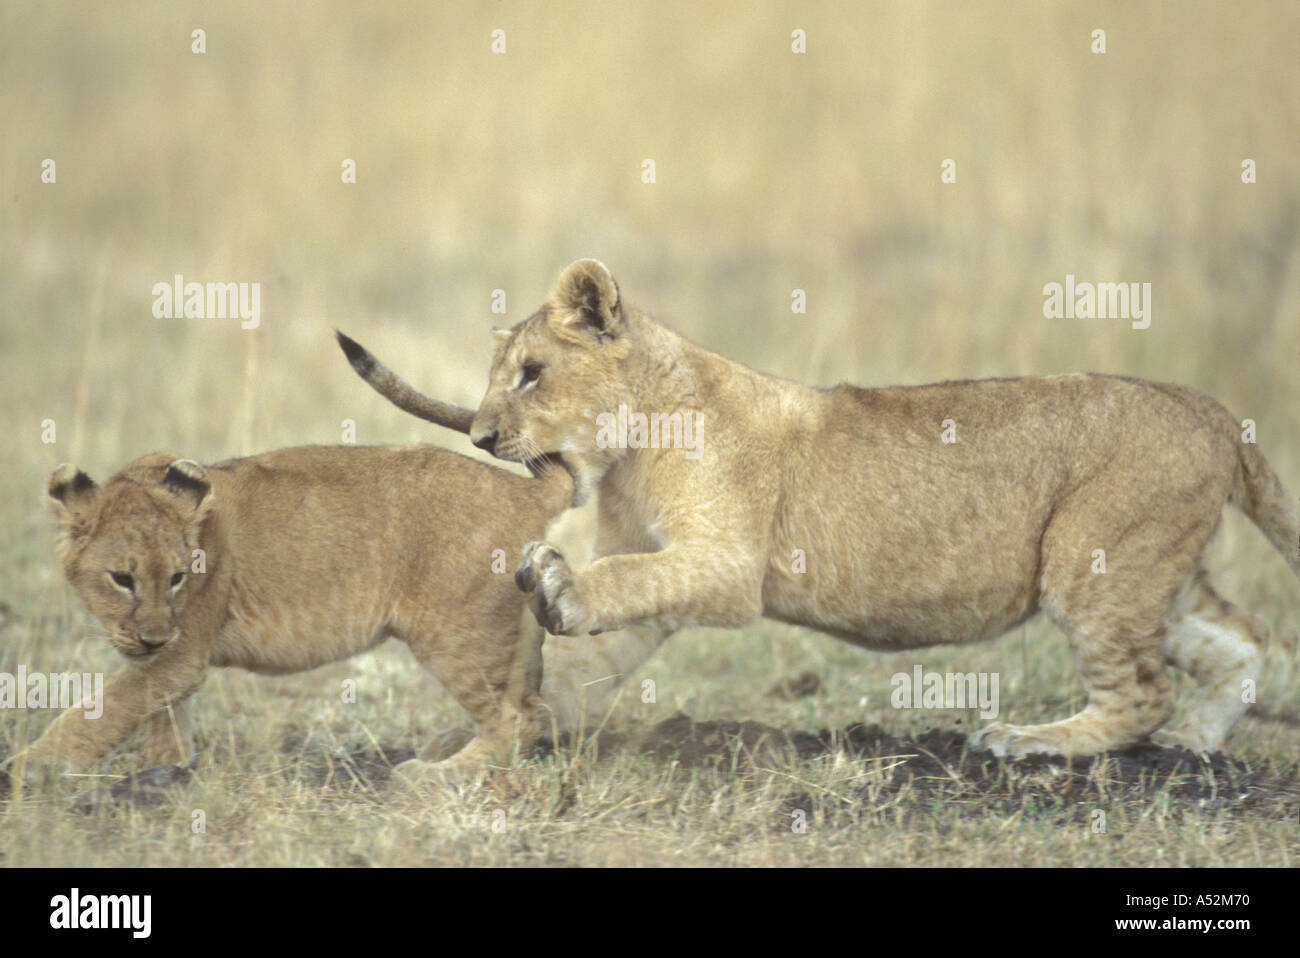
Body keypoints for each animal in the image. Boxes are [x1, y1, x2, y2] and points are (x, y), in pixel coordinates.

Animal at [10, 443, 572, 782]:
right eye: (122, 579)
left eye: (176, 578)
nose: (151, 638)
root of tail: (521, 487)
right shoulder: (171, 660)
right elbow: (159, 714)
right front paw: (164, 770)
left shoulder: (183, 651)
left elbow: (101, 710)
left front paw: (25, 767)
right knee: (536, 705)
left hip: (458, 635)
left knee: (515, 718)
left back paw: (431, 774)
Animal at [340, 259, 1299, 758]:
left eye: (532, 373)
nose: (480, 435)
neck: (633, 447)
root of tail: (1204, 406)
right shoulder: (659, 570)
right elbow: (591, 658)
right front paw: (471, 755)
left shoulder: (724, 565)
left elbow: (613, 585)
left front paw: (556, 593)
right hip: (1152, 572)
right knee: (1244, 641)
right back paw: (1199, 744)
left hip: (1091, 564)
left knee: (1144, 694)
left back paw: (1032, 742)